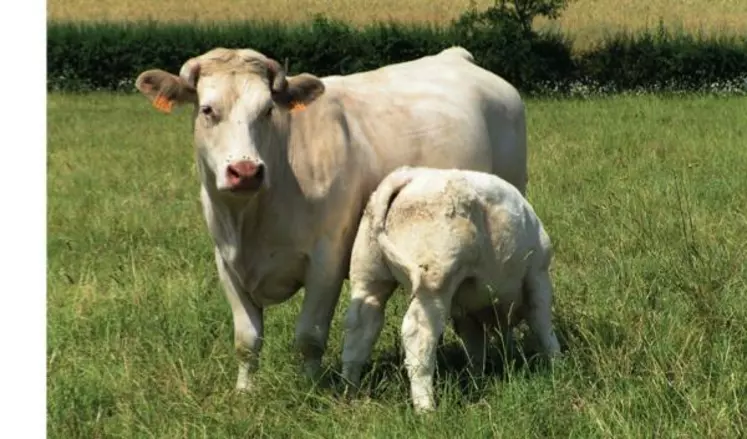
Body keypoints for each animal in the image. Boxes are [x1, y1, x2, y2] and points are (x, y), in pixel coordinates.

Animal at [136, 47, 532, 392]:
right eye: (207, 109)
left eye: (267, 110)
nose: (245, 171)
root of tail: (457, 56)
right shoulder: (226, 262)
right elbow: (246, 339)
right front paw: (244, 392)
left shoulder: (326, 261)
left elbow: (309, 336)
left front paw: (311, 389)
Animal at [342, 167, 560, 414]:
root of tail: (408, 175)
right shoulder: (538, 276)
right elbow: (542, 324)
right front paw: (558, 363)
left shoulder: (467, 309)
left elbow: (475, 346)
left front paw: (477, 378)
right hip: (434, 286)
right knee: (418, 336)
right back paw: (426, 408)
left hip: (368, 280)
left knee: (361, 328)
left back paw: (350, 390)